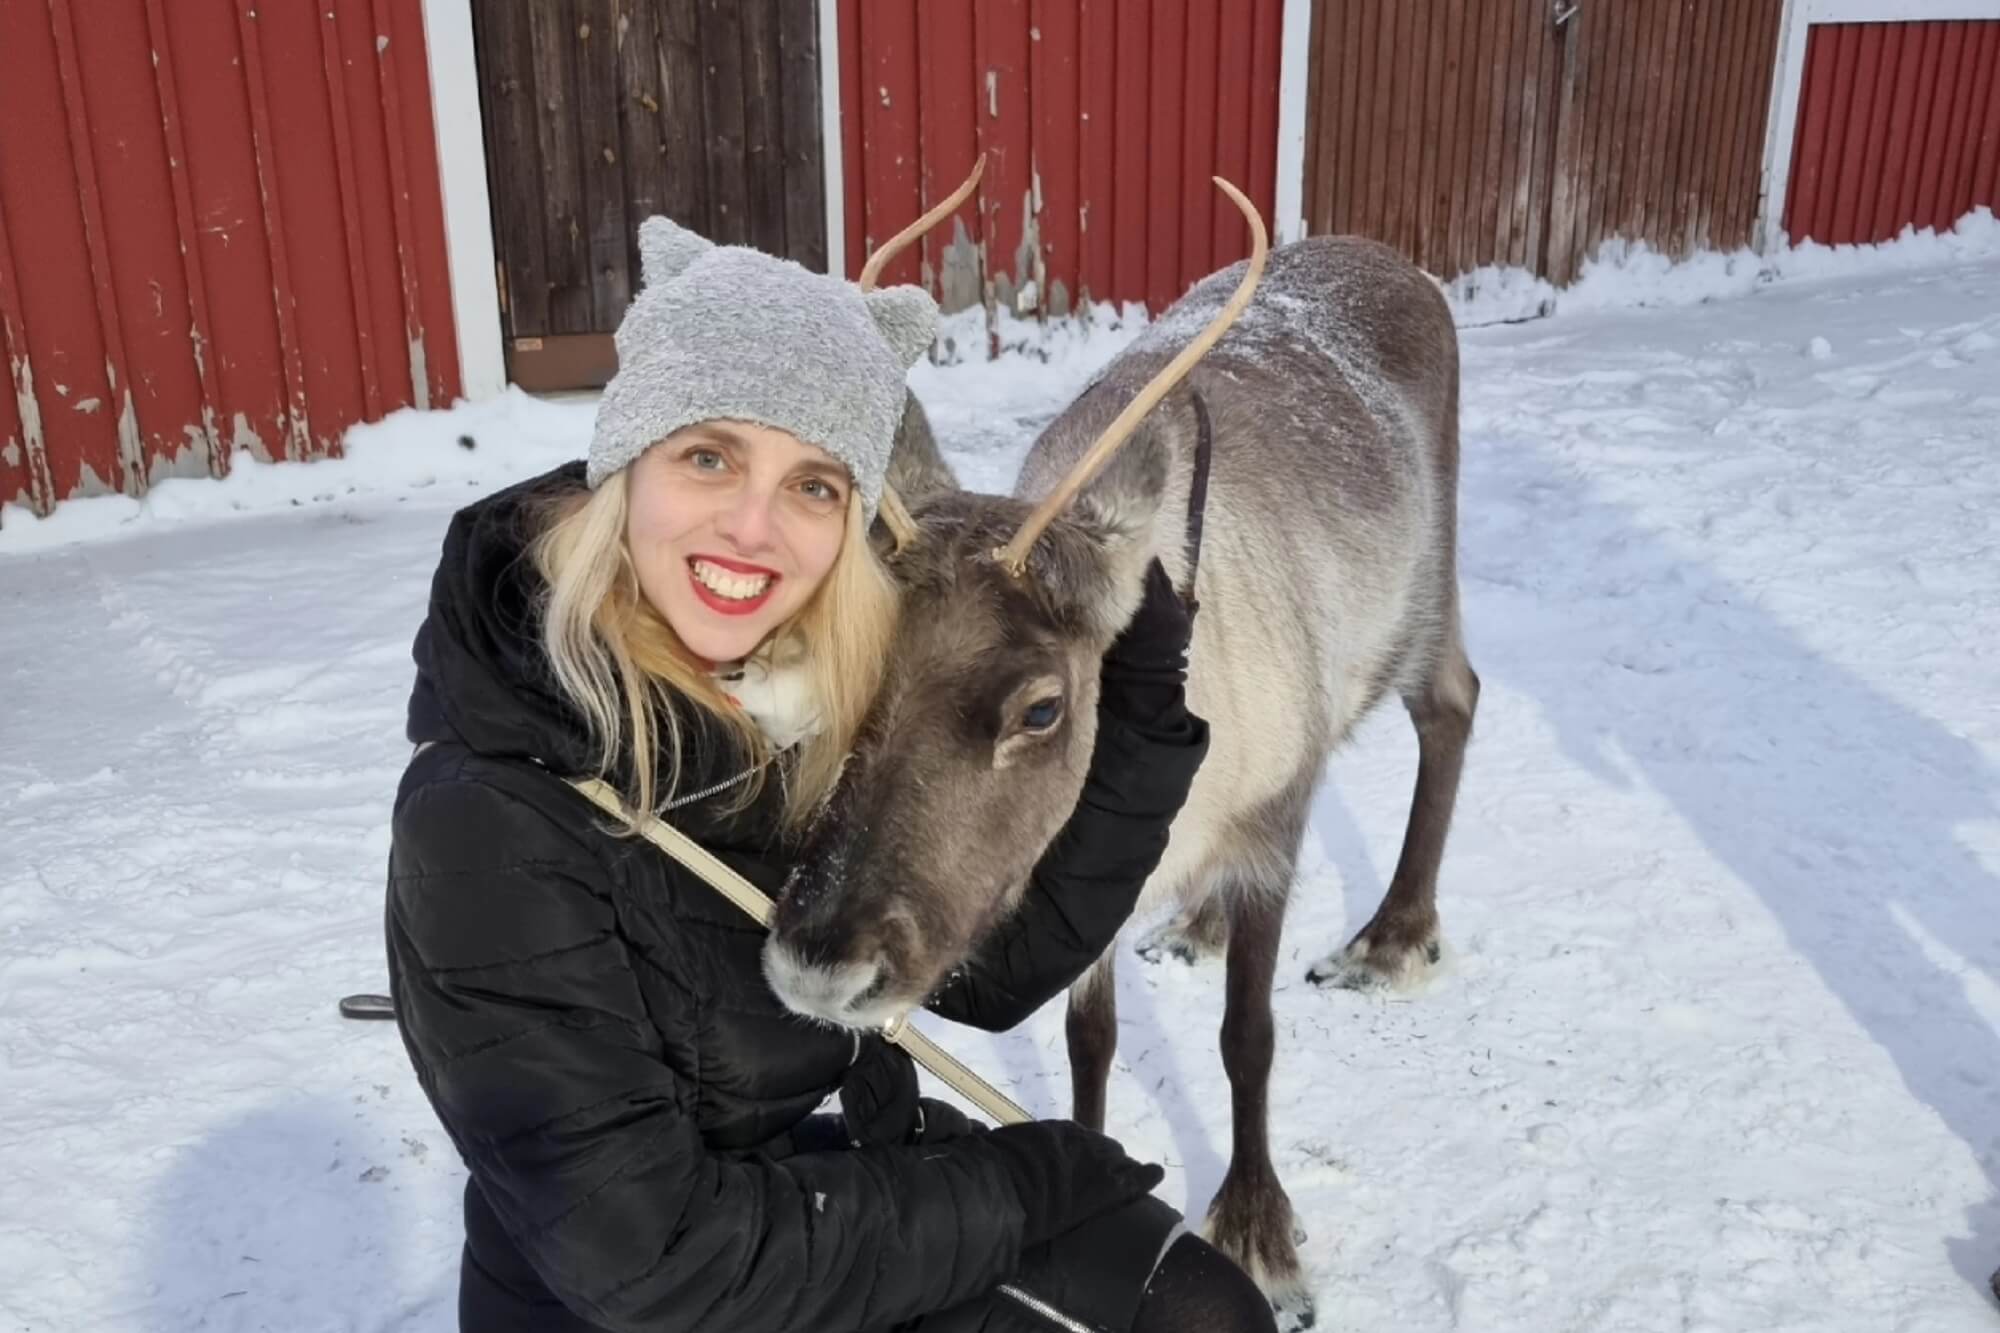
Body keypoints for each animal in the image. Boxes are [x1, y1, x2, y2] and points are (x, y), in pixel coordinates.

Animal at [770, 169, 1478, 1326]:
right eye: (844, 658)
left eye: (1040, 708)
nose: (819, 962)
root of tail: (1394, 262)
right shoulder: (1084, 883)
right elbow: (1087, 1040)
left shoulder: (1275, 822)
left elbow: (1247, 1036)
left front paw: (1258, 1233)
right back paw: (1194, 925)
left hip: (1424, 594)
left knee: (1453, 700)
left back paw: (1391, 938)